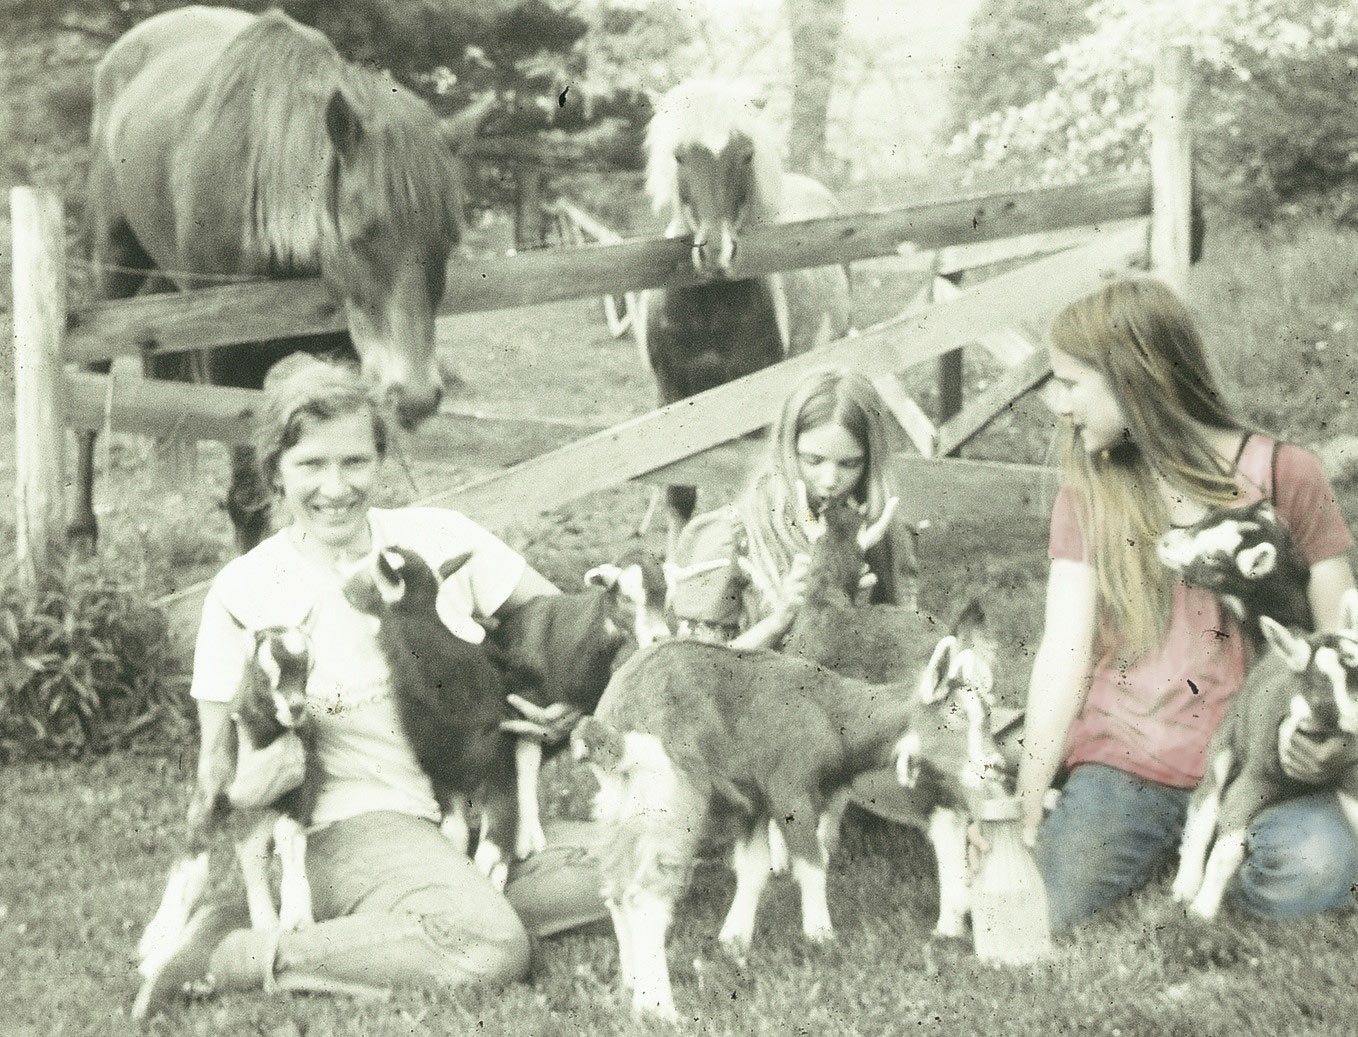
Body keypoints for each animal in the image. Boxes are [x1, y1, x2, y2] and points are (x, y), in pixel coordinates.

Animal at [136, 618, 319, 998]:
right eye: (266, 672)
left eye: (309, 670)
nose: (296, 708)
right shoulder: (210, 799)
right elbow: (193, 868)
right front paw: (159, 943)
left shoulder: (300, 790)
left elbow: (287, 836)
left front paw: (296, 916)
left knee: (251, 851)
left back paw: (265, 925)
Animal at [567, 616, 1004, 1020]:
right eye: (955, 713)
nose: (995, 765)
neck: (831, 712)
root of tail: (615, 724)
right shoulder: (790, 788)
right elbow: (812, 861)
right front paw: (821, 935)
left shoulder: (755, 800)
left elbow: (753, 867)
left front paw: (734, 940)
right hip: (673, 796)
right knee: (647, 894)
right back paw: (659, 1008)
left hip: (619, 804)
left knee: (616, 888)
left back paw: (631, 984)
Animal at [1167, 586, 1358, 917]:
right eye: (1323, 693)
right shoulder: (1252, 782)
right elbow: (1226, 851)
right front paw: (1204, 911)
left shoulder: (1349, 773)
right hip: (1225, 742)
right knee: (1205, 807)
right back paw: (1187, 885)